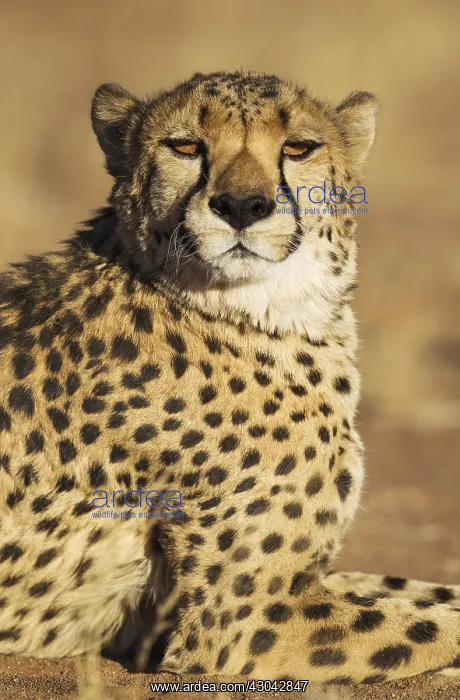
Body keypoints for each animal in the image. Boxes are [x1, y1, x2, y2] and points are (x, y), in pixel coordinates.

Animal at [0, 70, 459, 686]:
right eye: (185, 146)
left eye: (298, 148)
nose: (242, 205)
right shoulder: (246, 621)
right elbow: (435, 626)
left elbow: (419, 592)